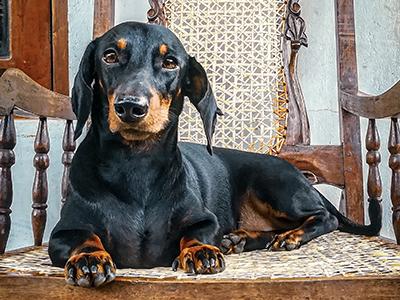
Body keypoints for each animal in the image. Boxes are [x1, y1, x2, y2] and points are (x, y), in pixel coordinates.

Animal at [48, 22, 382, 288]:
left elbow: (198, 232)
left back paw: (289, 236)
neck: (136, 164)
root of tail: (299, 174)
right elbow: (83, 237)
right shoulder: (61, 235)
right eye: (109, 56)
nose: (131, 106)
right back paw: (240, 238)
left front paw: (200, 251)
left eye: (170, 62)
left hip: (275, 187)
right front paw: (90, 258)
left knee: (326, 217)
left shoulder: (206, 221)